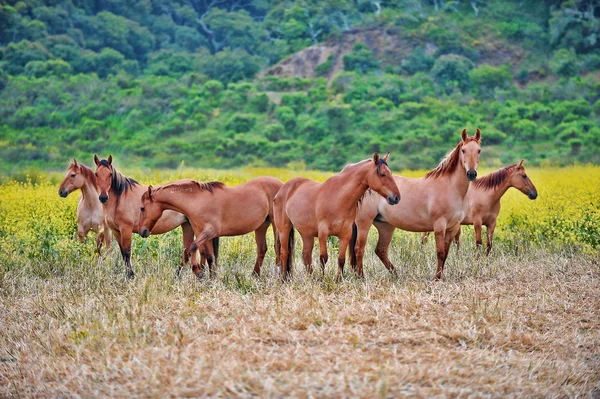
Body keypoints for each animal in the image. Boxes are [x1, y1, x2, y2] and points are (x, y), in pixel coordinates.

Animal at [138, 177, 284, 278]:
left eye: (142, 208)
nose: (142, 231)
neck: (197, 201)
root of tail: (281, 184)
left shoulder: (210, 232)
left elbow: (192, 247)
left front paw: (198, 271)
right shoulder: (201, 232)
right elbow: (208, 256)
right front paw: (211, 277)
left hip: (275, 224)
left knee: (278, 247)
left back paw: (278, 274)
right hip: (262, 225)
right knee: (262, 249)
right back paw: (255, 276)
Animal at [274, 152, 400, 282]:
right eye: (383, 174)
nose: (396, 198)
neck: (338, 198)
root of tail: (283, 188)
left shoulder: (345, 234)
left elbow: (341, 259)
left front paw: (338, 280)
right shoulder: (323, 233)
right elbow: (323, 258)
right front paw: (323, 279)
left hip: (306, 233)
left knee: (306, 255)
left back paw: (311, 279)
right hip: (284, 229)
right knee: (284, 253)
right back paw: (283, 279)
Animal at [352, 130, 482, 280]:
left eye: (479, 150)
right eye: (463, 150)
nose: (471, 174)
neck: (450, 187)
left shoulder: (453, 228)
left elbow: (446, 253)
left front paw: (440, 276)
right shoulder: (439, 225)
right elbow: (440, 252)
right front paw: (436, 278)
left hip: (385, 226)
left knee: (381, 250)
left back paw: (396, 274)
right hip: (364, 223)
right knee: (359, 249)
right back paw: (361, 277)